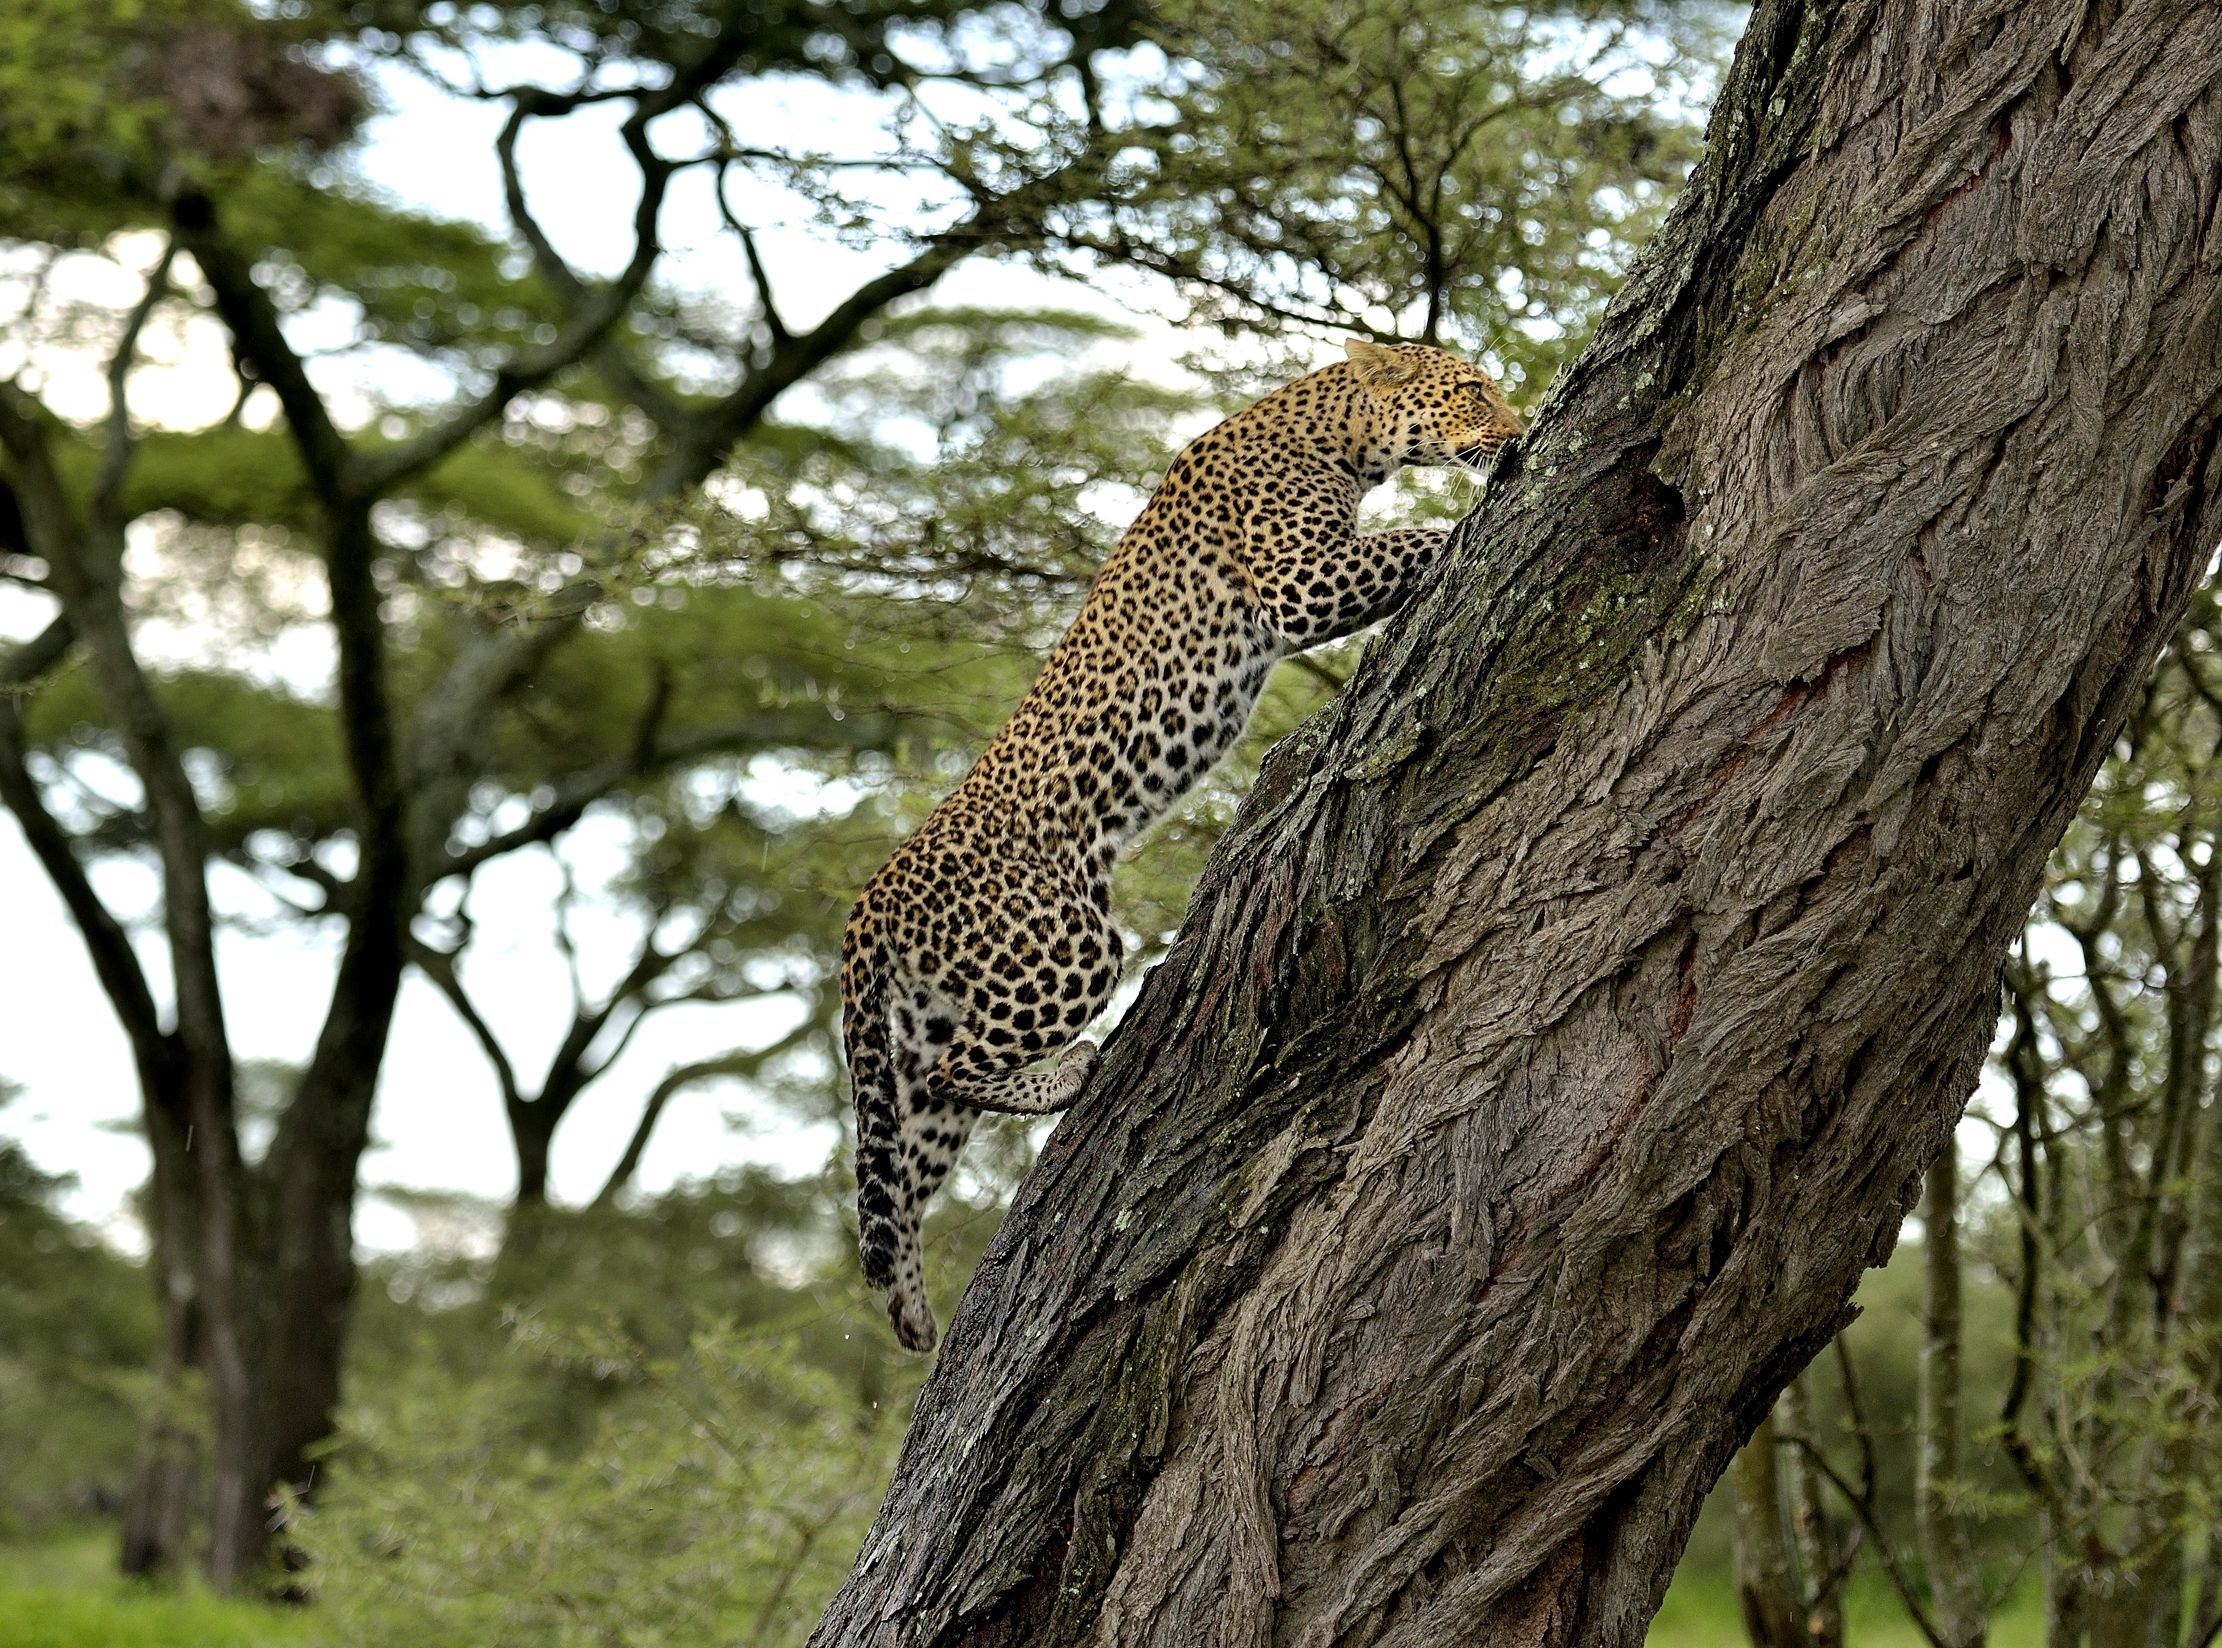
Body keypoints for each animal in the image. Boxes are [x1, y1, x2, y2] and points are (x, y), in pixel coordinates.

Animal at [841, 338, 1523, 1350]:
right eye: (1474, 391)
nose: (1516, 429)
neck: (1339, 433)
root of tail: (868, 899)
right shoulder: (1296, 581)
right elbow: (1413, 540)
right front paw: (1466, 516)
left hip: (931, 1023)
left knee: (924, 1130)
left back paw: (918, 1321)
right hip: (1067, 946)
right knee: (964, 1068)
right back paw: (1072, 1073)